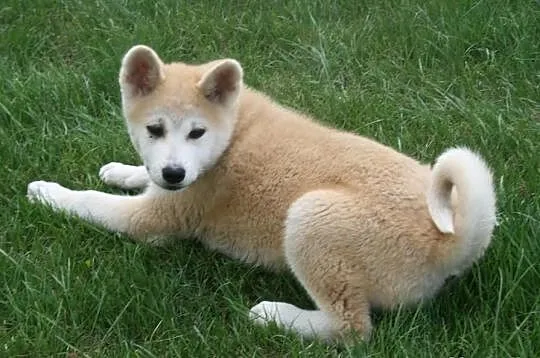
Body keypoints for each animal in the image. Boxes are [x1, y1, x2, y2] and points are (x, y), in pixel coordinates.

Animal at [27, 44, 496, 342]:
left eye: (196, 132)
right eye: (154, 129)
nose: (176, 173)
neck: (231, 134)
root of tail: (449, 242)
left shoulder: (157, 218)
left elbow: (90, 202)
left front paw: (47, 192)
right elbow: (139, 177)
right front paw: (122, 170)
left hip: (311, 219)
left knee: (352, 330)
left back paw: (275, 315)